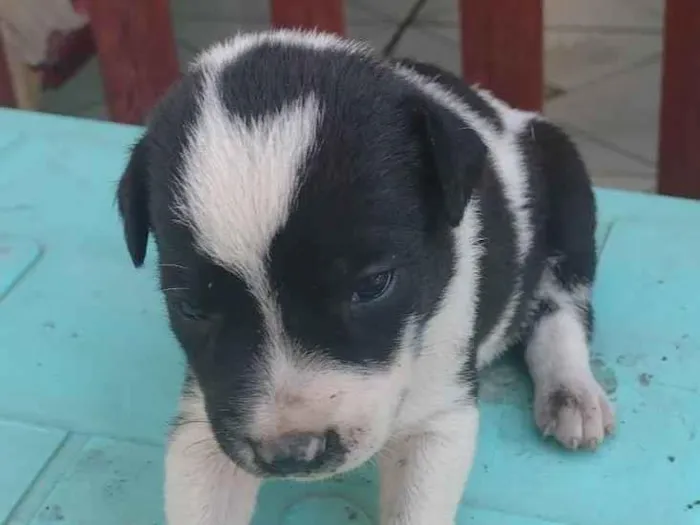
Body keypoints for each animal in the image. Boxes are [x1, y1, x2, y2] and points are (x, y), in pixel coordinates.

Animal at [117, 29, 616, 524]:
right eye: (190, 308)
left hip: (567, 186)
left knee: (562, 306)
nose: (292, 453)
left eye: (373, 286)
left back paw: (571, 392)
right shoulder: (204, 422)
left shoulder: (438, 413)